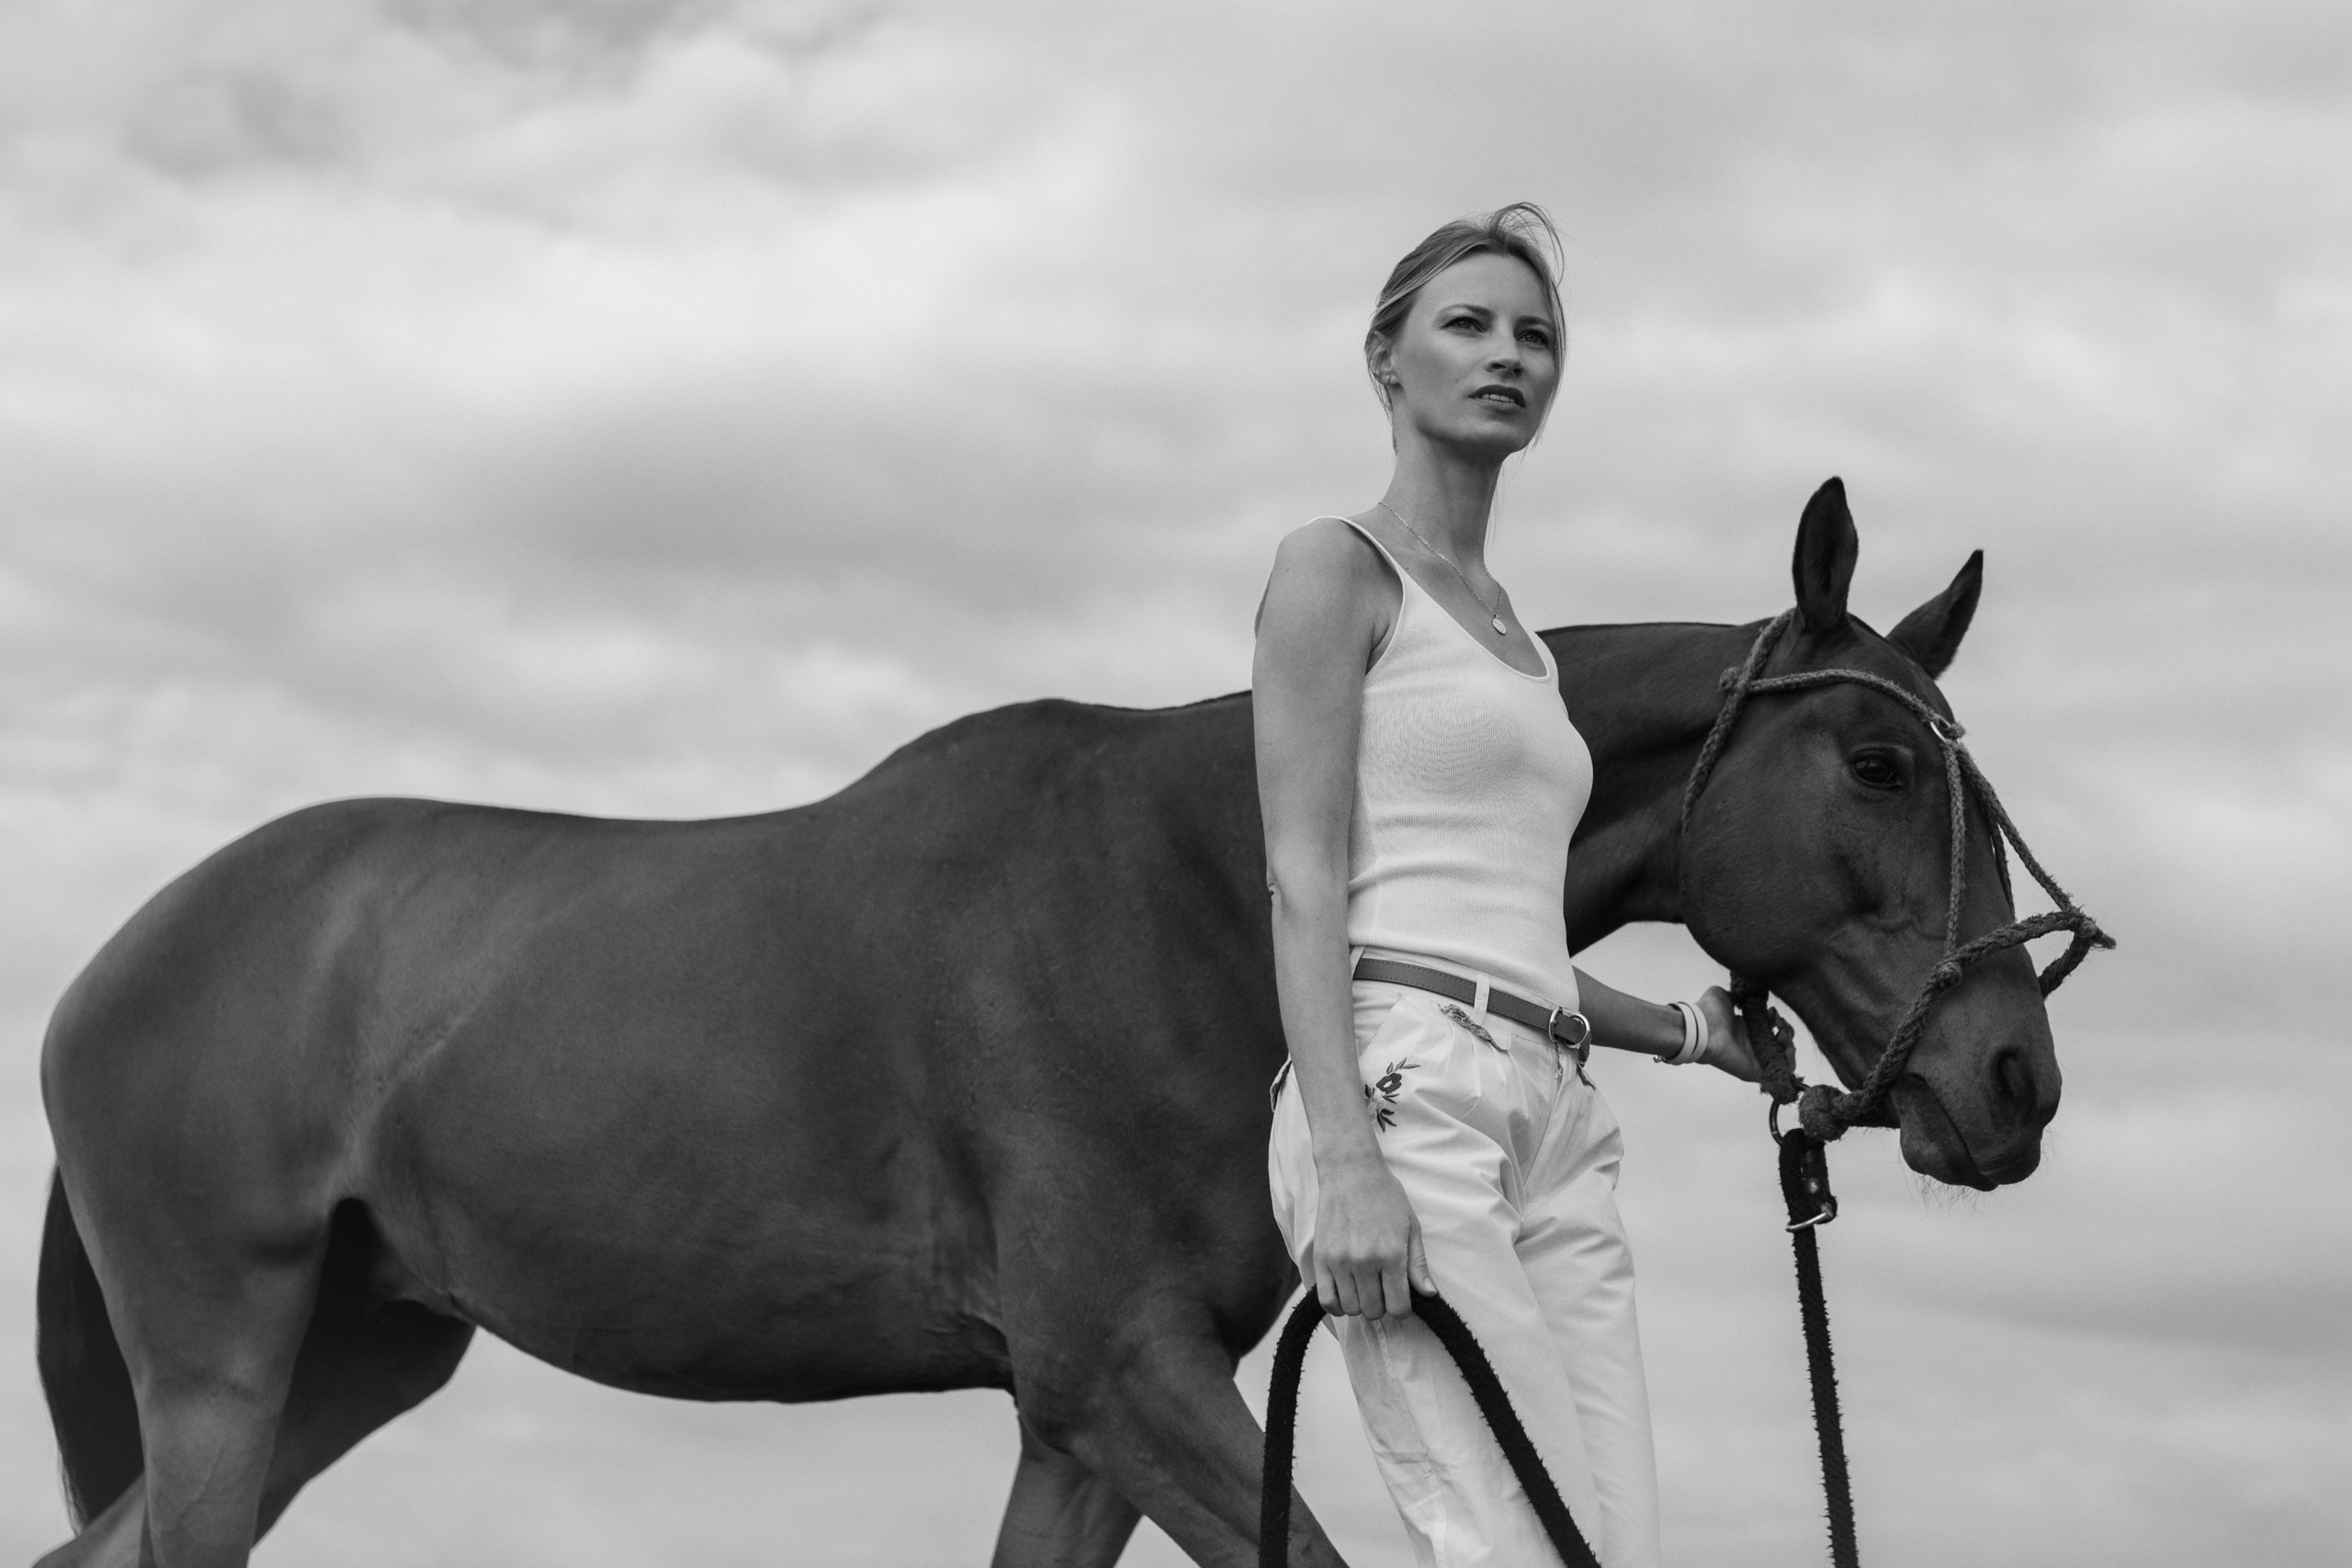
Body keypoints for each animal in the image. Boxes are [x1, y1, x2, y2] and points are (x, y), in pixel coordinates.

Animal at [34, 479, 2060, 1567]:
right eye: (1877, 761)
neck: (1192, 898)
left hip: (353, 1356)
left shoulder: (1076, 1423)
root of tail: (119, 957)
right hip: (225, 1368)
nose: (2014, 1077)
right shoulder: (1123, 1374)